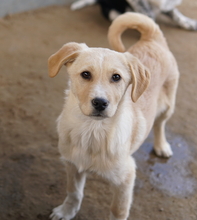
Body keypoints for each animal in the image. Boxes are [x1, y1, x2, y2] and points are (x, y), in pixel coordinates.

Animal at [47, 11, 179, 220]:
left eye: (116, 77)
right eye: (85, 74)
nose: (100, 103)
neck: (92, 131)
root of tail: (152, 37)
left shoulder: (126, 177)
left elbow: (118, 210)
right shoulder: (72, 164)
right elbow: (74, 192)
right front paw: (67, 211)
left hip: (168, 105)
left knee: (160, 124)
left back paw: (161, 146)